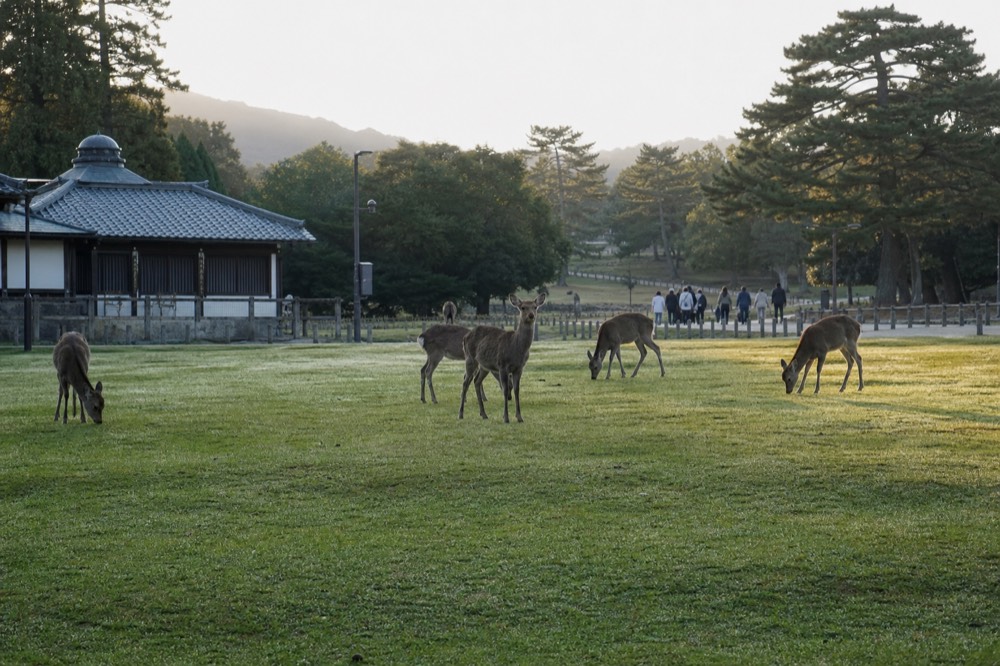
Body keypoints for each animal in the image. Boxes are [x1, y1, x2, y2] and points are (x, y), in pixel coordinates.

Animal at [459, 292, 546, 423]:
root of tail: (465, 336)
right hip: (470, 358)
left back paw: (484, 414)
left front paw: (519, 417)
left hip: (484, 366)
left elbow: (516, 390)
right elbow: (505, 389)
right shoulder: (502, 365)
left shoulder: (519, 368)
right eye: (523, 307)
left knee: (476, 381)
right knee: (465, 382)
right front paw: (506, 417)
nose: (531, 315)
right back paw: (461, 414)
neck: (516, 348)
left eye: (535, 307)